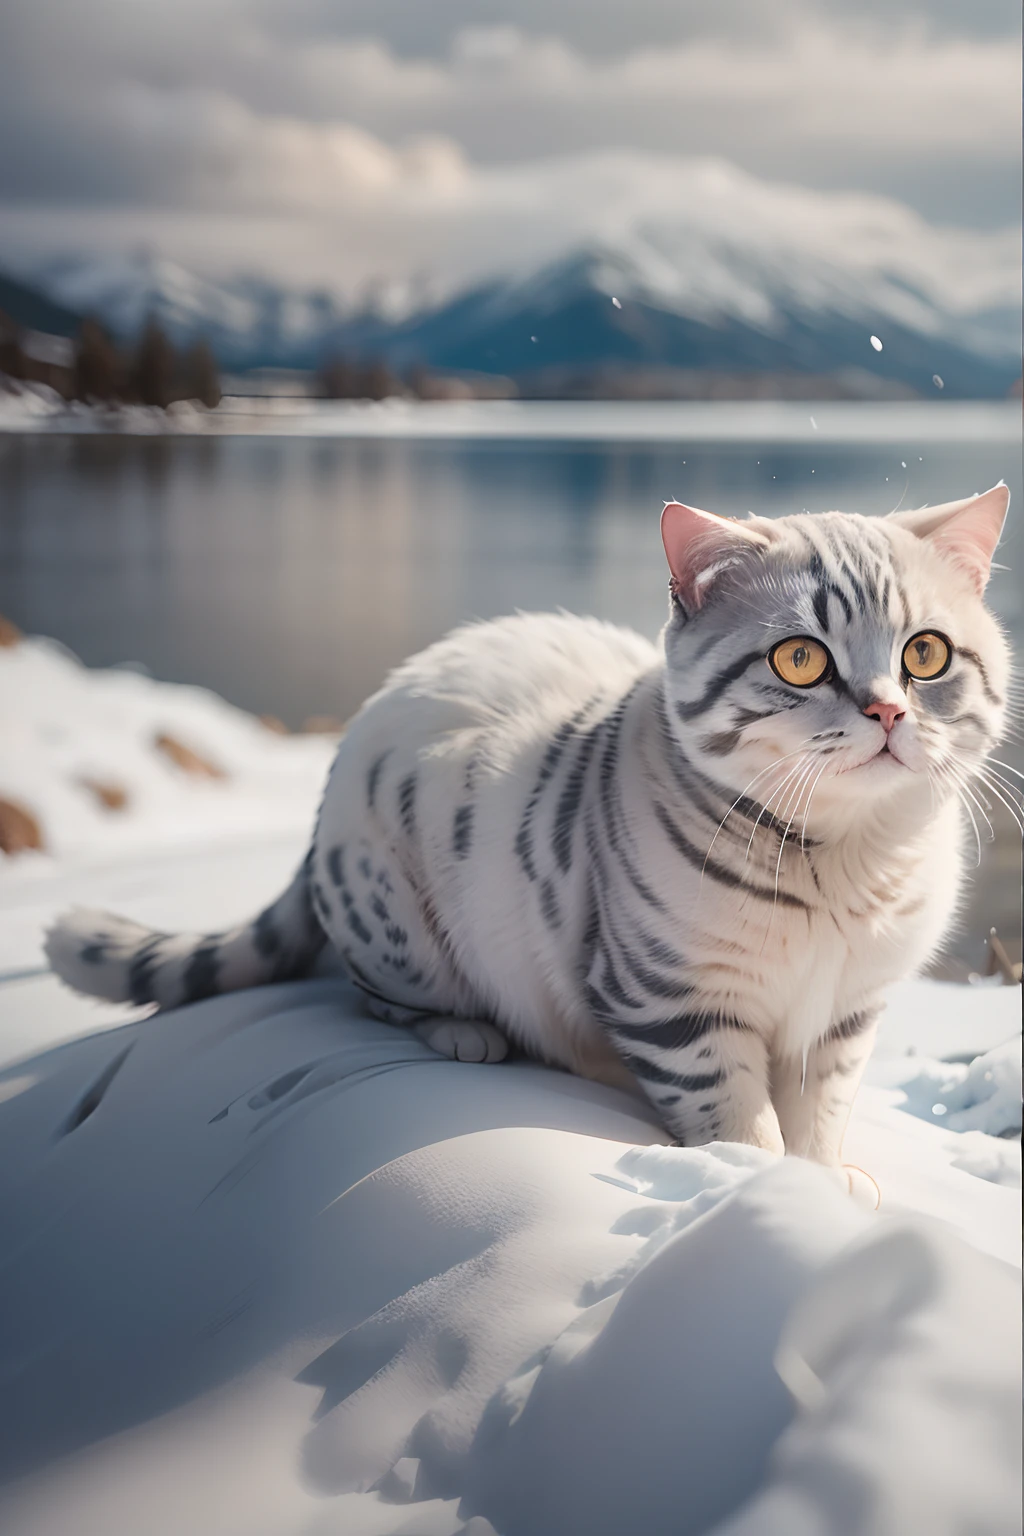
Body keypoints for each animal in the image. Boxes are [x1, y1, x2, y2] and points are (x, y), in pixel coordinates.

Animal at [46, 485, 1007, 1167]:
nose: (887, 710)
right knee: (374, 994)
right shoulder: (673, 1006)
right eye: (800, 658)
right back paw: (466, 1034)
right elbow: (739, 1121)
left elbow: (822, 1115)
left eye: (924, 654)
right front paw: (763, 1186)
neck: (850, 859)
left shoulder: (847, 1016)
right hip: (395, 921)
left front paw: (829, 1182)